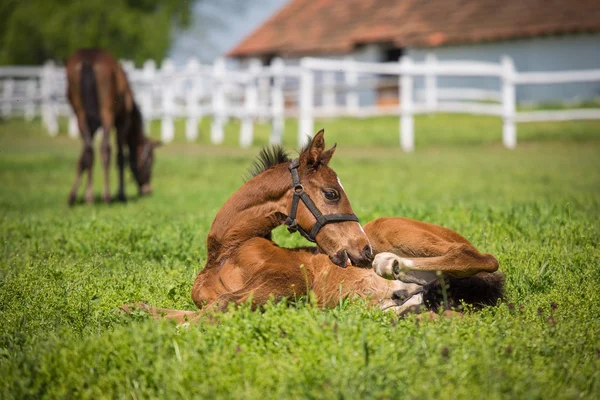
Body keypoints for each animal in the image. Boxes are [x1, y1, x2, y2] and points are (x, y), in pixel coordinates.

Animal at [66, 49, 159, 206]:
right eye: (150, 161)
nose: (148, 190)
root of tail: (88, 60)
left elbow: (83, 156)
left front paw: (76, 196)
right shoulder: (122, 121)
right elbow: (121, 157)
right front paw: (121, 194)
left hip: (80, 114)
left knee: (89, 151)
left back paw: (87, 197)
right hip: (107, 115)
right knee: (105, 149)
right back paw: (107, 196)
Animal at [122, 130, 502, 324]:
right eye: (332, 193)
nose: (364, 250)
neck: (225, 252)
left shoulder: (286, 281)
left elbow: (218, 307)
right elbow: (176, 310)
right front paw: (131, 310)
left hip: (395, 230)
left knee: (478, 257)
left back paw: (392, 268)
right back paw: (403, 295)